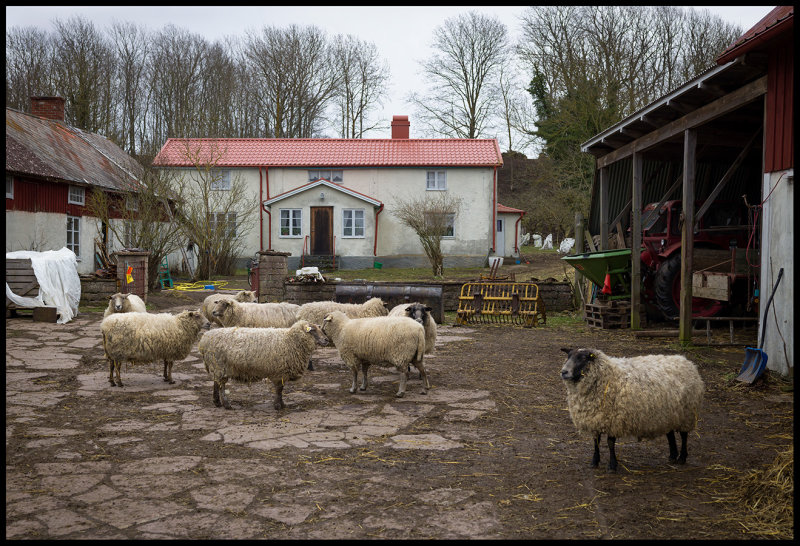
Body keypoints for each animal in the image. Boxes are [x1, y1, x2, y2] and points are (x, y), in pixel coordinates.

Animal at [199, 318, 328, 408]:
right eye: (313, 330)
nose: (326, 340)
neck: (290, 340)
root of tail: (205, 339)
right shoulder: (279, 372)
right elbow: (279, 389)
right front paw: (278, 405)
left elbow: (280, 389)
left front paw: (281, 404)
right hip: (219, 365)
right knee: (221, 385)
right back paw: (226, 404)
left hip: (217, 367)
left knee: (216, 383)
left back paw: (217, 402)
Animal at [560, 346, 704, 470]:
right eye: (568, 356)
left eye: (583, 358)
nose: (563, 372)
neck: (607, 376)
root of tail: (687, 362)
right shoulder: (595, 420)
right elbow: (596, 442)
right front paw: (594, 462)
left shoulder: (613, 420)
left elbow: (610, 443)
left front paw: (612, 466)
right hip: (670, 413)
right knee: (670, 433)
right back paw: (673, 456)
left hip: (687, 413)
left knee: (684, 436)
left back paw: (682, 458)